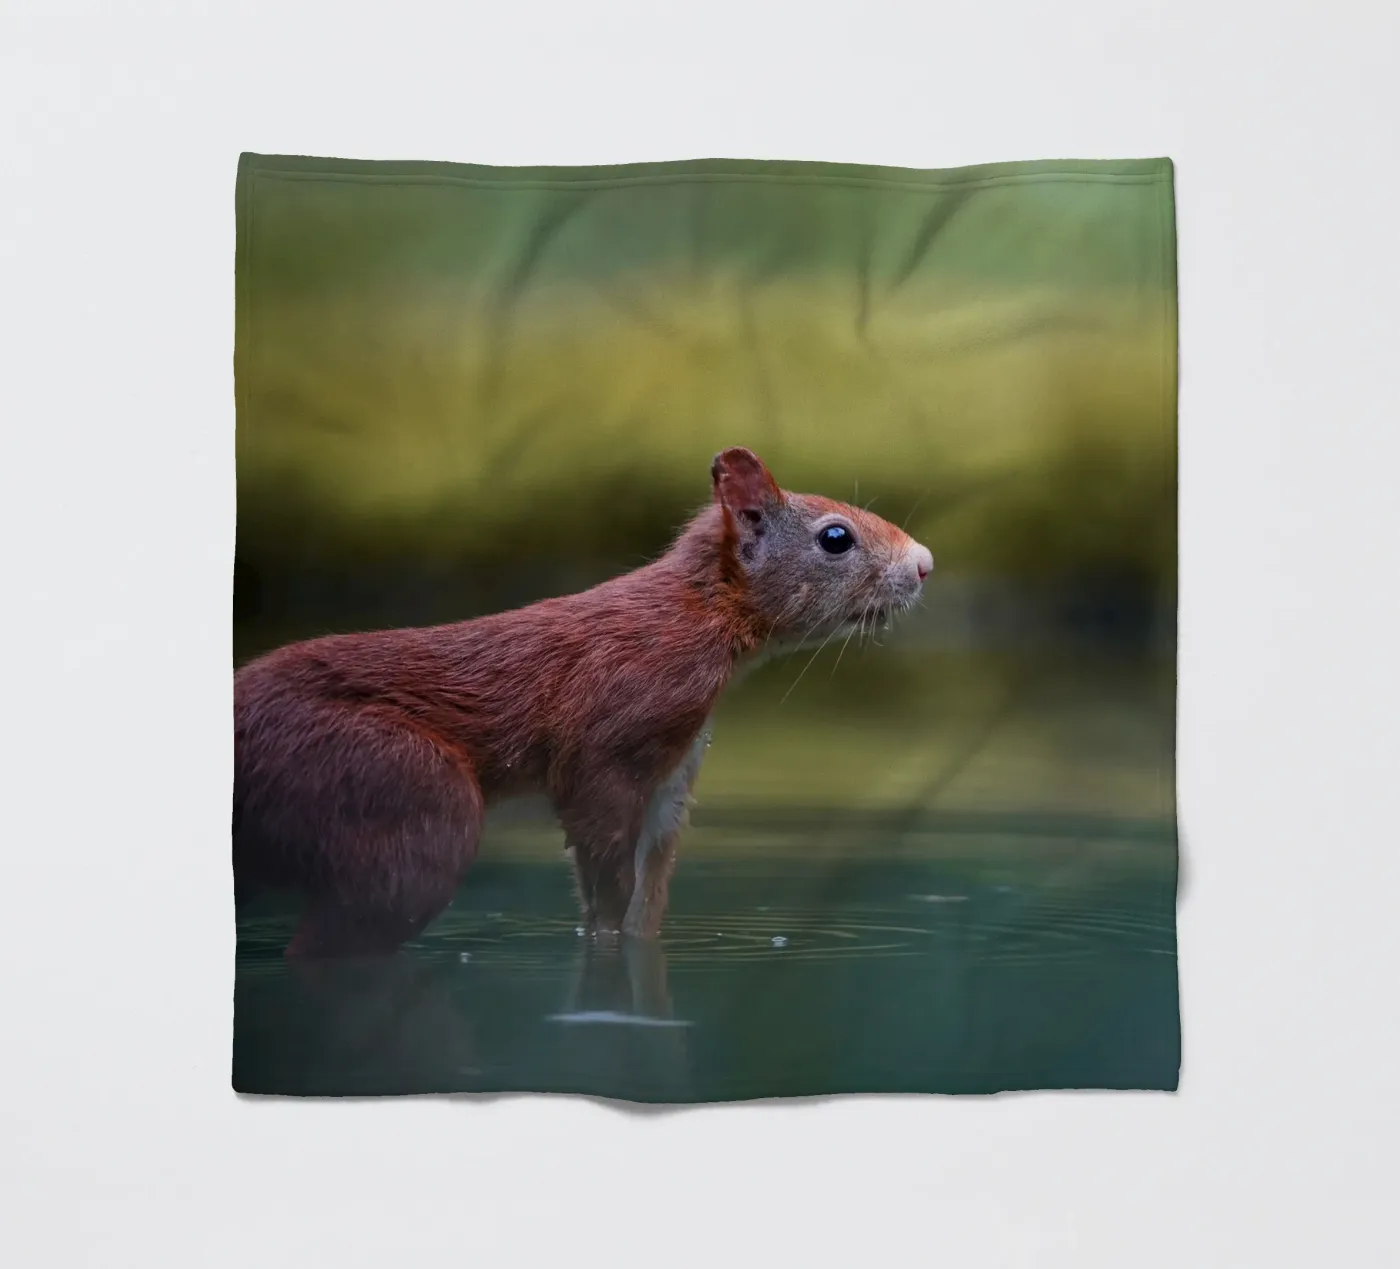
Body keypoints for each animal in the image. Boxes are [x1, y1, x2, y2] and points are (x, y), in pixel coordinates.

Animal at [233, 447, 934, 957]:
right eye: (836, 537)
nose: (925, 563)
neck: (694, 617)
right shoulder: (608, 739)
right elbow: (605, 873)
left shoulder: (673, 773)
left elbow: (647, 893)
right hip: (396, 787)